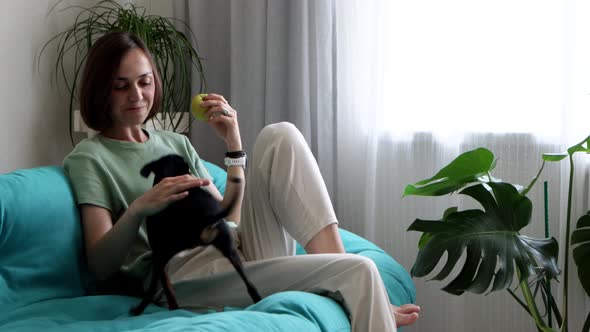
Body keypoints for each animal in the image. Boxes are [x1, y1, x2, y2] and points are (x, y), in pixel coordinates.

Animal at [133, 154, 264, 316]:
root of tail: (206, 216)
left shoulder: (158, 254)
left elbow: (163, 286)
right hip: (230, 249)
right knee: (250, 284)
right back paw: (257, 300)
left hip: (166, 251)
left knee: (158, 289)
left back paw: (146, 309)